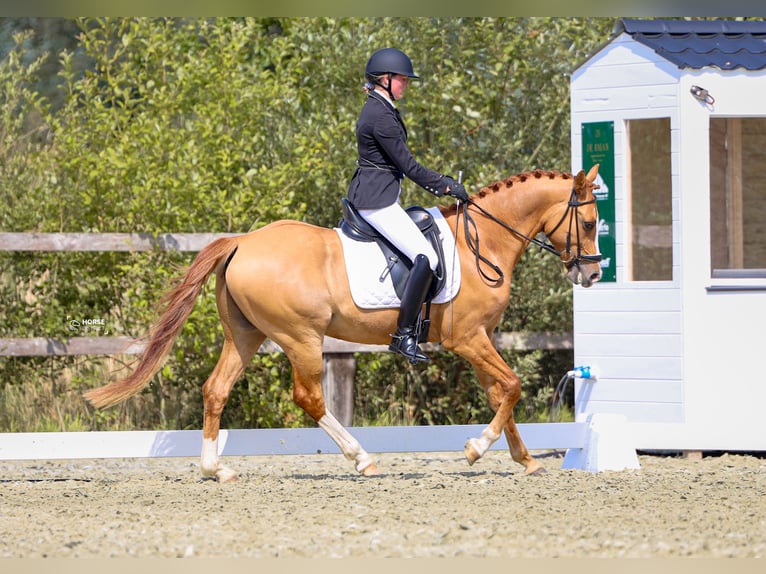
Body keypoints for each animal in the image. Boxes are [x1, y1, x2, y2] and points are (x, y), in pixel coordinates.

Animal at [82, 165, 600, 482]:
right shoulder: (468, 339)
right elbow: (511, 385)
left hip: (246, 335)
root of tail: (242, 242)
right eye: (591, 223)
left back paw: (216, 470)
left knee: (216, 389)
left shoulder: (482, 338)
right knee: (309, 397)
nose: (592, 274)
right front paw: (476, 448)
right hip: (301, 337)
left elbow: (500, 393)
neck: (484, 242)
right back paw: (362, 459)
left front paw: (525, 460)